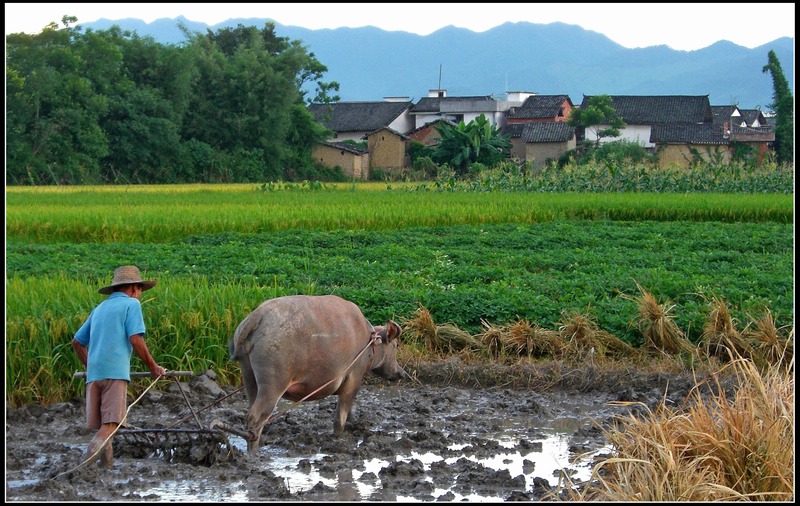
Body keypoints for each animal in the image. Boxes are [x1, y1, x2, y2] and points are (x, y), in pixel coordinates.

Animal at [231, 294, 406, 452]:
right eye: (395, 345)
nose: (402, 374)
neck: (369, 345)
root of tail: (257, 315)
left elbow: (351, 410)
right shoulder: (353, 379)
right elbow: (340, 416)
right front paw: (339, 437)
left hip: (248, 374)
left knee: (251, 408)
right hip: (273, 383)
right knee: (256, 417)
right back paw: (254, 452)